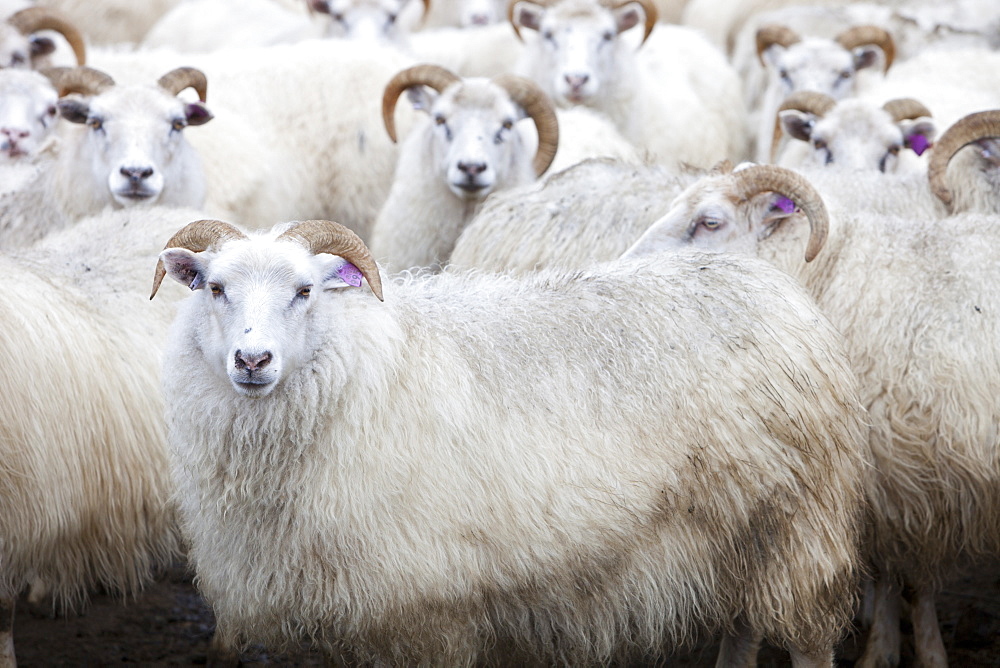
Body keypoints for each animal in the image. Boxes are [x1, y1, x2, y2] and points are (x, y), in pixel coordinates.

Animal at [152, 217, 872, 664]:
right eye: (215, 288)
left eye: (305, 290)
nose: (252, 360)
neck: (359, 373)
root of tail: (775, 288)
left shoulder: (425, 612)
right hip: (739, 530)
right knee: (744, 627)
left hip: (797, 522)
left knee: (808, 639)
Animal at [628, 162, 1000, 668]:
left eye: (709, 222)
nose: (625, 262)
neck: (829, 269)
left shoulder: (900, 473)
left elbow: (904, 577)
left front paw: (902, 650)